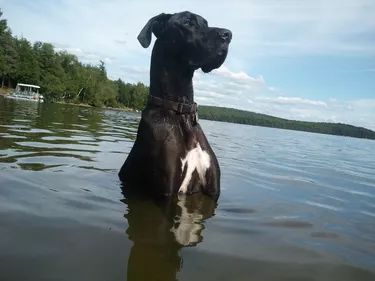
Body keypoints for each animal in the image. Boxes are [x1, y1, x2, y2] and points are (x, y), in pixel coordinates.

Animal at [120, 11, 232, 199]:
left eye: (205, 23)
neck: (181, 110)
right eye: (187, 22)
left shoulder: (213, 191)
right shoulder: (166, 191)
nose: (228, 34)